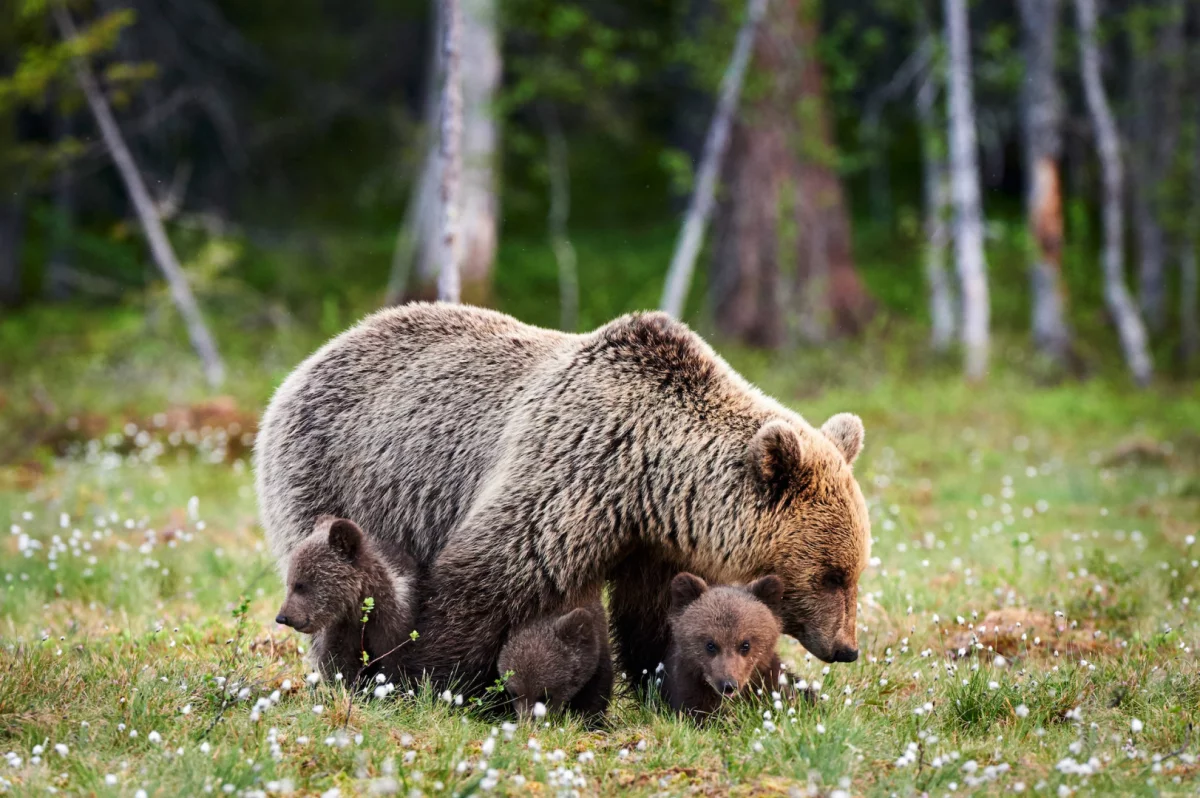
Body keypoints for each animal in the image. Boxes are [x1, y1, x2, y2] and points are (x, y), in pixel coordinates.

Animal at [253, 302, 873, 686]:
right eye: (832, 574)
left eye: (854, 569)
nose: (846, 647)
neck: (652, 480)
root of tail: (309, 359)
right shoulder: (572, 470)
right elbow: (487, 577)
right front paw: (432, 677)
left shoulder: (655, 541)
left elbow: (661, 614)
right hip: (337, 475)